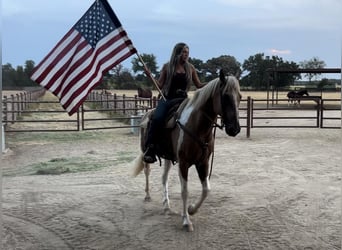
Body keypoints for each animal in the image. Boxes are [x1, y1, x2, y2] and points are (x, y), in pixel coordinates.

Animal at [132, 69, 242, 231]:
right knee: (147, 171)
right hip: (145, 153)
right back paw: (147, 195)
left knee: (164, 178)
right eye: (226, 96)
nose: (235, 129)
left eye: (240, 97)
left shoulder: (203, 162)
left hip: (167, 157)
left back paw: (167, 205)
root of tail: (146, 114)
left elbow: (206, 189)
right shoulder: (184, 163)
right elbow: (185, 191)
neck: (197, 127)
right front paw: (186, 220)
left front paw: (191, 209)